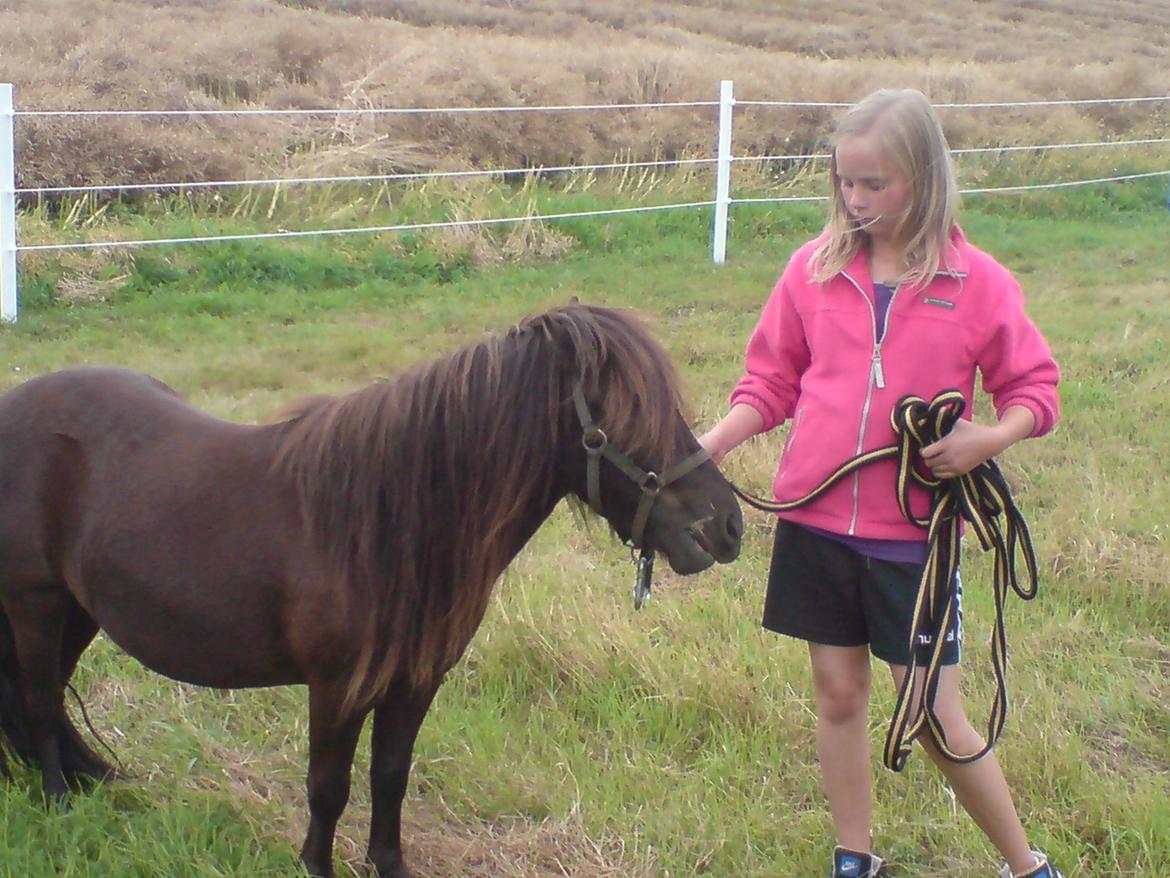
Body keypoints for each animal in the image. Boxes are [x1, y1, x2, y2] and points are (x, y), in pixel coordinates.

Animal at [0, 304, 739, 878]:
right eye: (622, 416)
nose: (725, 527)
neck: (386, 521)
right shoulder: (336, 687)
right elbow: (329, 788)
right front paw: (315, 865)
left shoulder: (415, 680)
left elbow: (390, 775)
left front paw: (389, 863)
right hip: (35, 605)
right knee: (37, 701)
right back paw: (60, 803)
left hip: (79, 612)